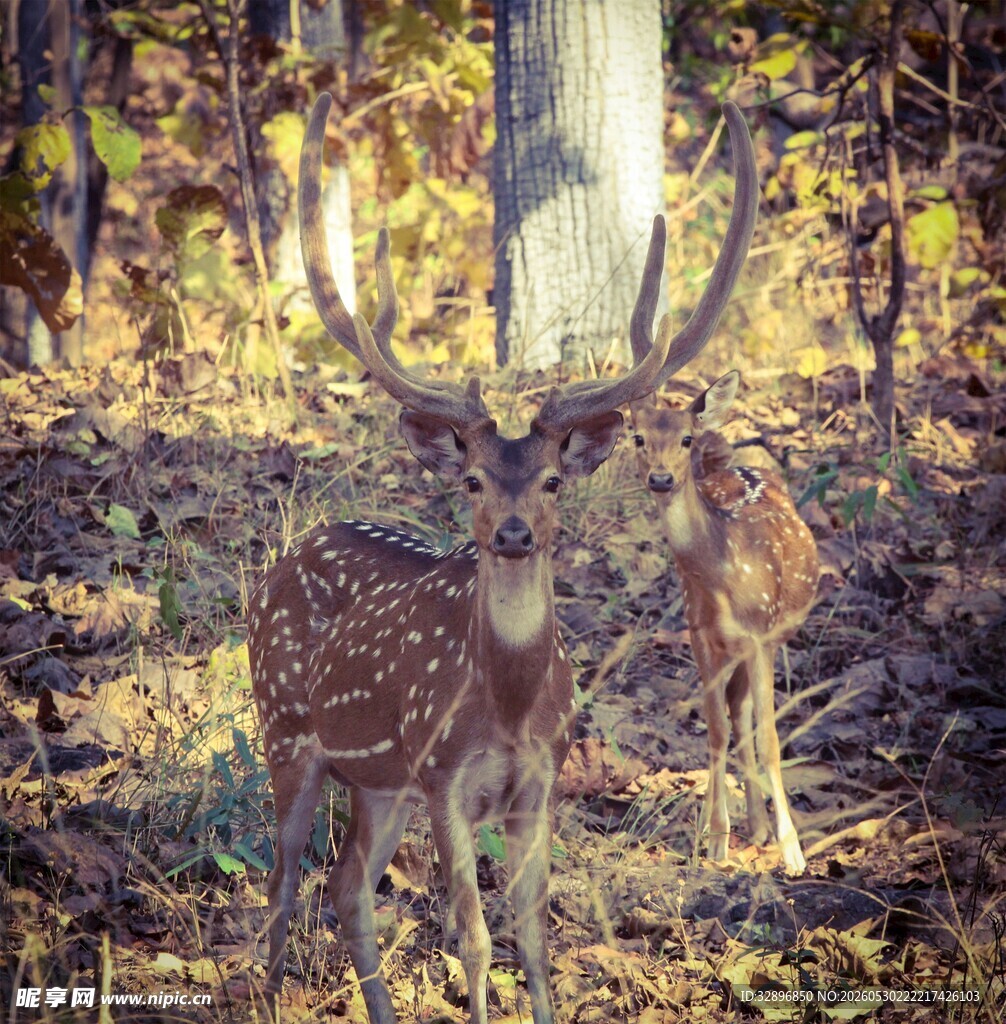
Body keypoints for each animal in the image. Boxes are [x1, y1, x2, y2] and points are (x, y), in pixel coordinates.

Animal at [247, 92, 758, 1024]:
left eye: (553, 478)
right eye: (476, 479)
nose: (514, 534)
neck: (511, 705)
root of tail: (288, 553)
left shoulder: (539, 782)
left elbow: (534, 935)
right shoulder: (445, 776)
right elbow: (474, 937)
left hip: (379, 782)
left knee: (347, 889)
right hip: (287, 729)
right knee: (283, 881)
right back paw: (265, 994)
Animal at [627, 278, 819, 874]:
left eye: (687, 438)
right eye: (637, 437)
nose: (661, 479)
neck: (723, 580)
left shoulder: (759, 634)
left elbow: (772, 738)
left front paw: (793, 851)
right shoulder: (700, 637)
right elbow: (713, 731)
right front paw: (713, 839)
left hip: (773, 638)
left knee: (752, 718)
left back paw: (765, 828)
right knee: (736, 715)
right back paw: (748, 824)